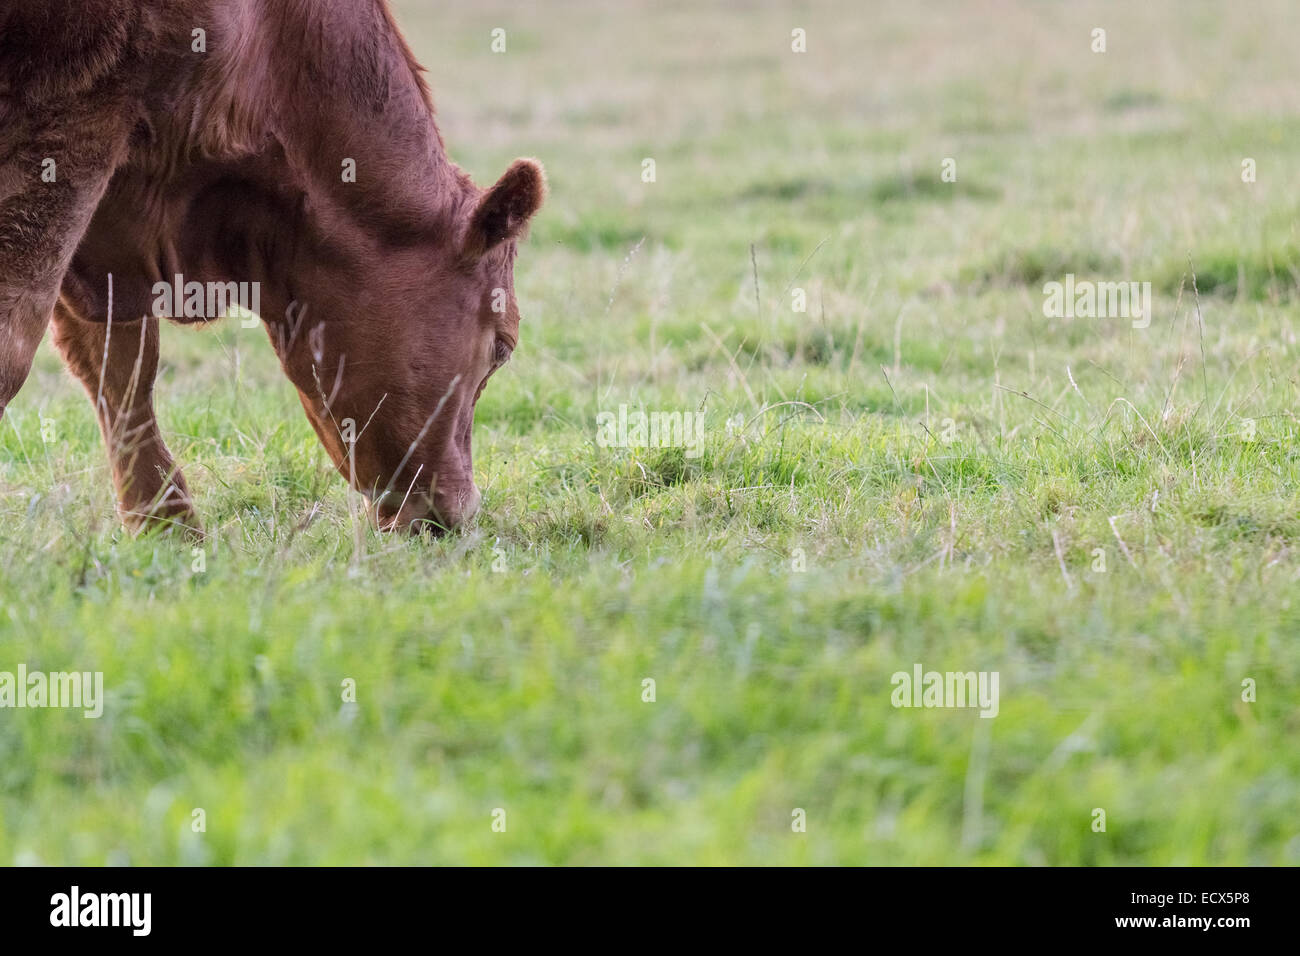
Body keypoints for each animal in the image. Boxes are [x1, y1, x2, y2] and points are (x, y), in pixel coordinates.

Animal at [0, 0, 545, 534]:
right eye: (502, 348)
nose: (461, 513)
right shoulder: (74, 117)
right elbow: (17, 349)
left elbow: (119, 362)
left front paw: (168, 527)